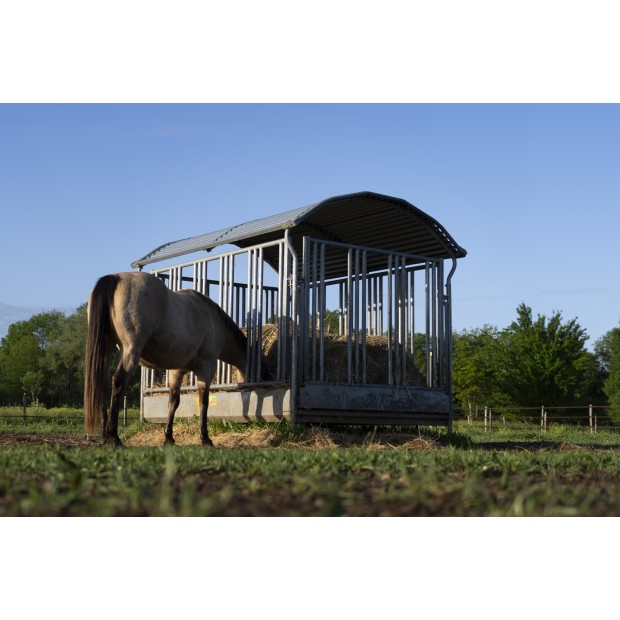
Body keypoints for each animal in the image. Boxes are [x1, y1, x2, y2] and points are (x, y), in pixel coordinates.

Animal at [83, 272, 268, 446]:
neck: (213, 320)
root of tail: (115, 278)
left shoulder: (176, 371)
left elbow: (173, 402)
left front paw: (169, 437)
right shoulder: (206, 367)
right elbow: (204, 401)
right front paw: (205, 438)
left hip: (106, 349)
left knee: (102, 384)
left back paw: (105, 435)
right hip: (130, 351)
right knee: (118, 382)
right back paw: (114, 437)